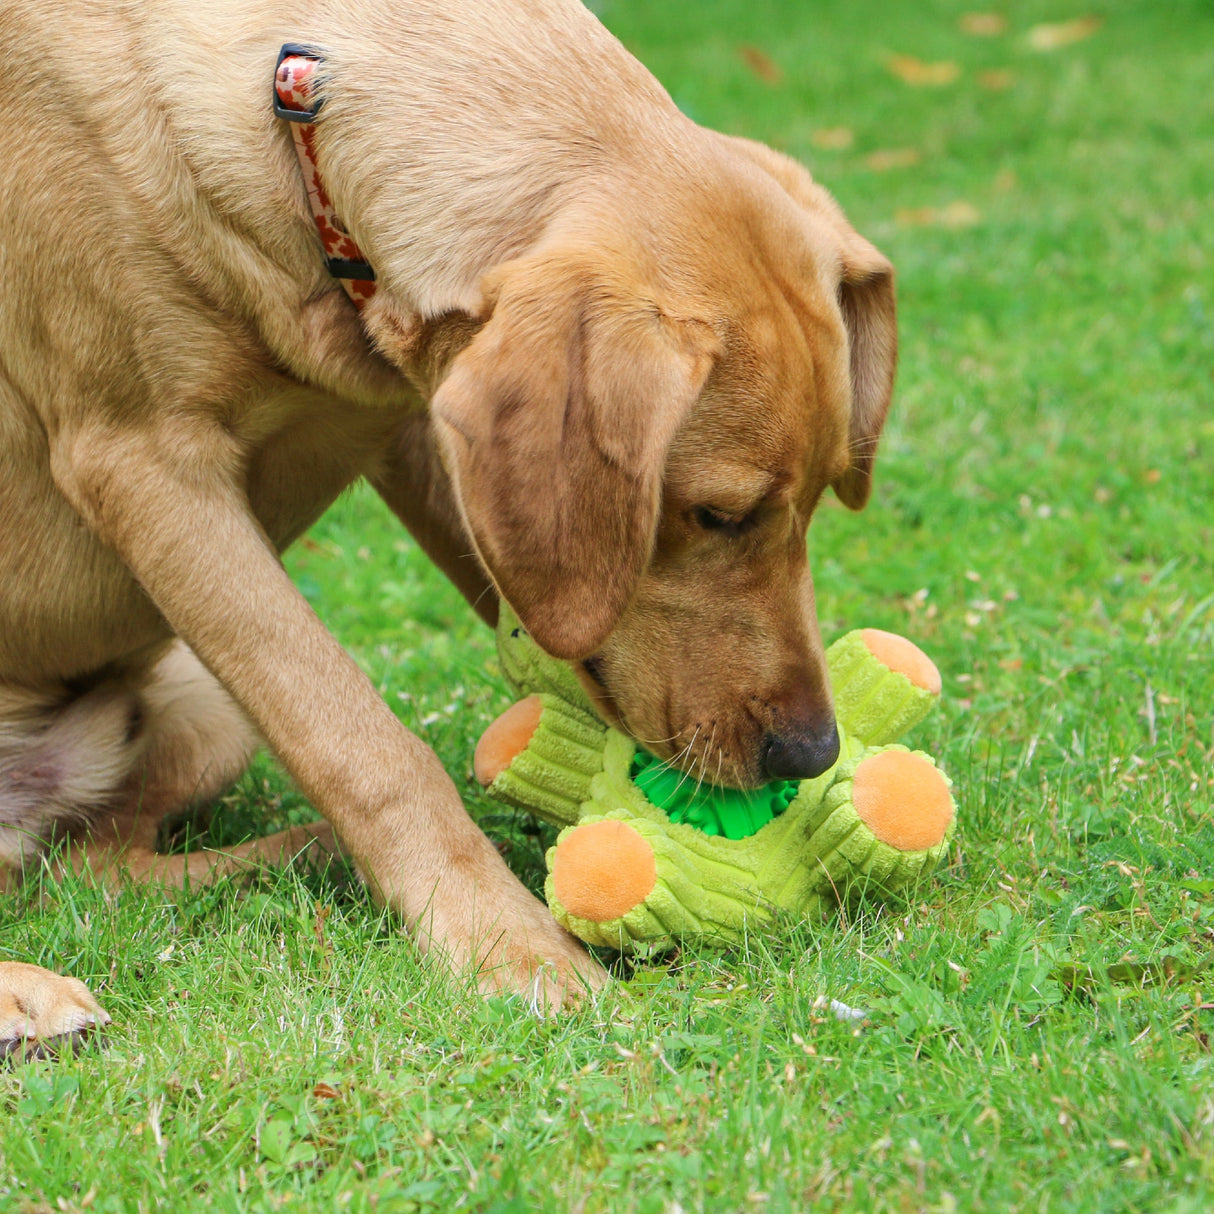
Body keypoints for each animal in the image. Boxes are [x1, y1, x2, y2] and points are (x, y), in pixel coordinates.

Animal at [0, 0, 893, 1044]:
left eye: (824, 496)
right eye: (717, 514)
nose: (812, 753)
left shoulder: (424, 430)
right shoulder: (144, 464)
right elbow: (365, 744)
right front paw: (506, 941)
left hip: (203, 702)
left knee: (89, 869)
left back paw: (297, 854)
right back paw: (31, 989)